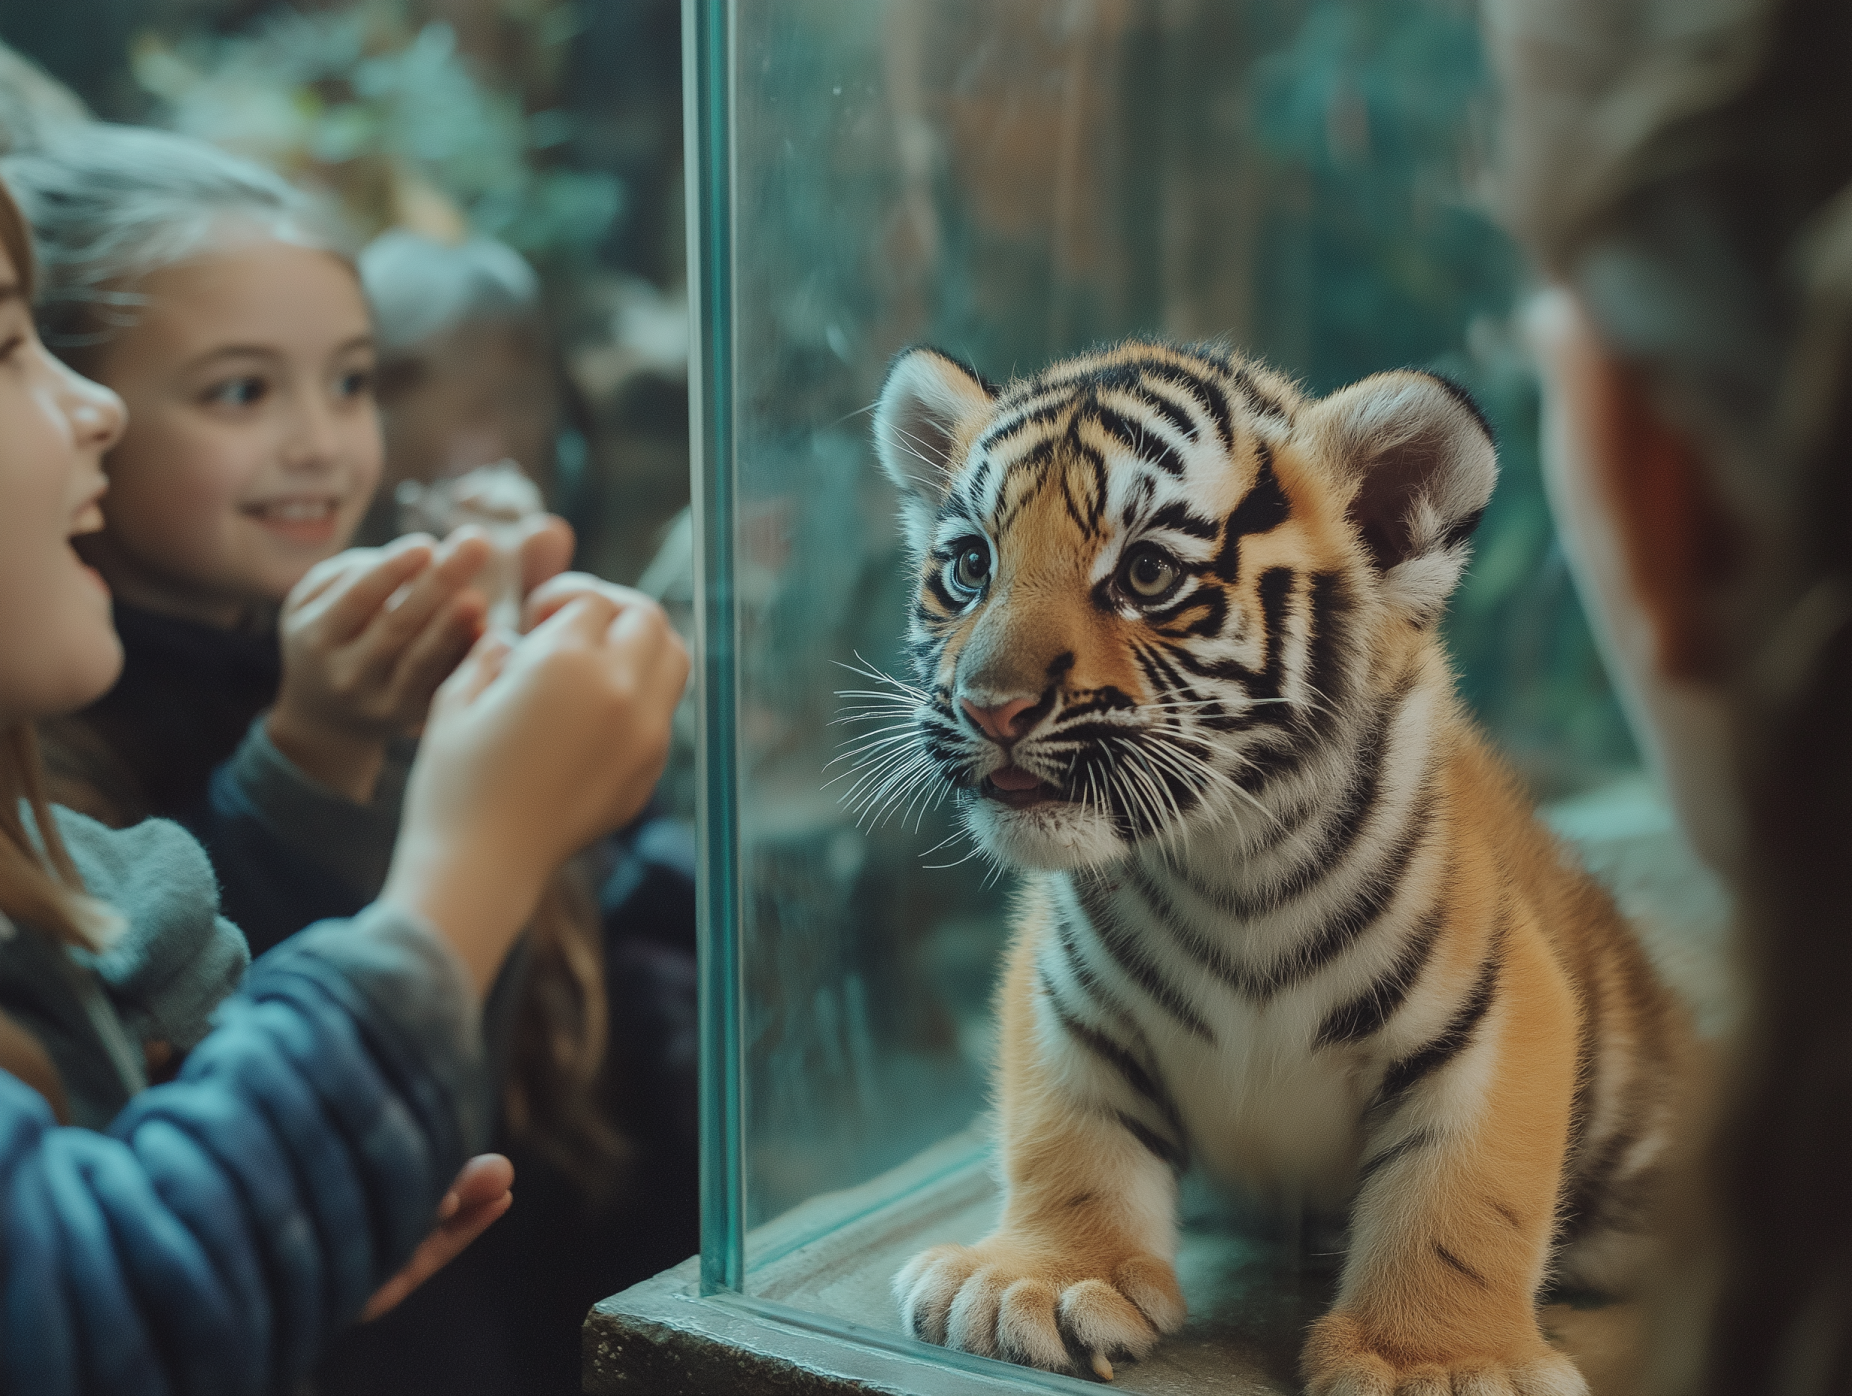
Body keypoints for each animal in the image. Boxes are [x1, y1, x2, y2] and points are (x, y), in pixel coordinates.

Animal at [867, 340, 1695, 1394]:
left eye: (1146, 574)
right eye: (971, 567)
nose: (988, 705)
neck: (1229, 858)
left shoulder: (1498, 1006)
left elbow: (1460, 1198)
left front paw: (1437, 1361)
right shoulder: (1063, 999)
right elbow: (1065, 1135)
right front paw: (1039, 1285)